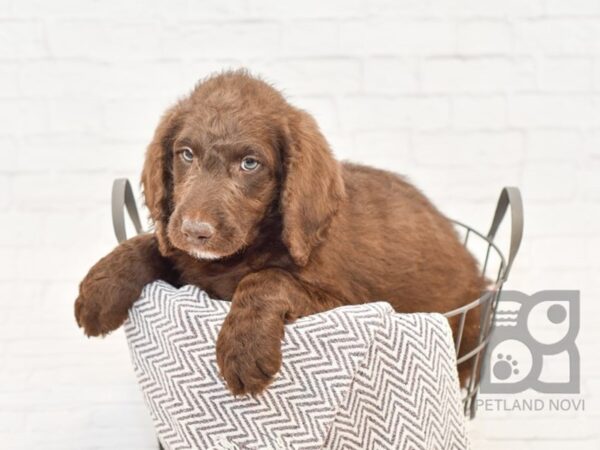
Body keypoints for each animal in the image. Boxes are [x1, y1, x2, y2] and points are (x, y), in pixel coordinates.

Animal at [75, 69, 486, 394]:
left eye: (249, 163)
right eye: (186, 154)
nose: (195, 231)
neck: (238, 254)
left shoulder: (346, 303)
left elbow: (268, 278)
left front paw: (243, 351)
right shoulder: (186, 258)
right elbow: (152, 245)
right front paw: (100, 289)